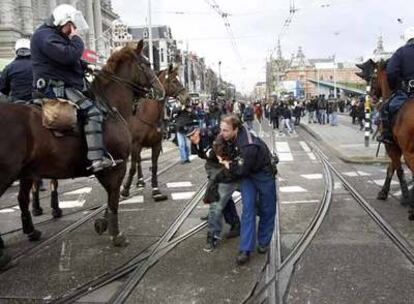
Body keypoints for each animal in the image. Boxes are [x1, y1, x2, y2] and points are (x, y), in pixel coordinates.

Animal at [0, 39, 163, 252]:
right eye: (147, 64)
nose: (161, 91)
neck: (110, 106)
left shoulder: (104, 168)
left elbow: (111, 195)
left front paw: (102, 223)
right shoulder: (117, 165)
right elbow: (114, 196)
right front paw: (116, 234)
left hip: (26, 172)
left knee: (22, 198)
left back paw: (31, 232)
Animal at [120, 64, 188, 200]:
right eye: (174, 81)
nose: (186, 97)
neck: (147, 114)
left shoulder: (156, 144)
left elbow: (155, 166)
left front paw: (156, 190)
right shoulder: (136, 144)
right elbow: (132, 168)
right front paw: (125, 189)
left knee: (139, 160)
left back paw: (140, 181)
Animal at [356, 58, 410, 209]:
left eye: (373, 78)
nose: (372, 98)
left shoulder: (391, 145)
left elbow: (398, 169)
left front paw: (405, 198)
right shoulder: (394, 145)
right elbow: (391, 167)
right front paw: (384, 191)